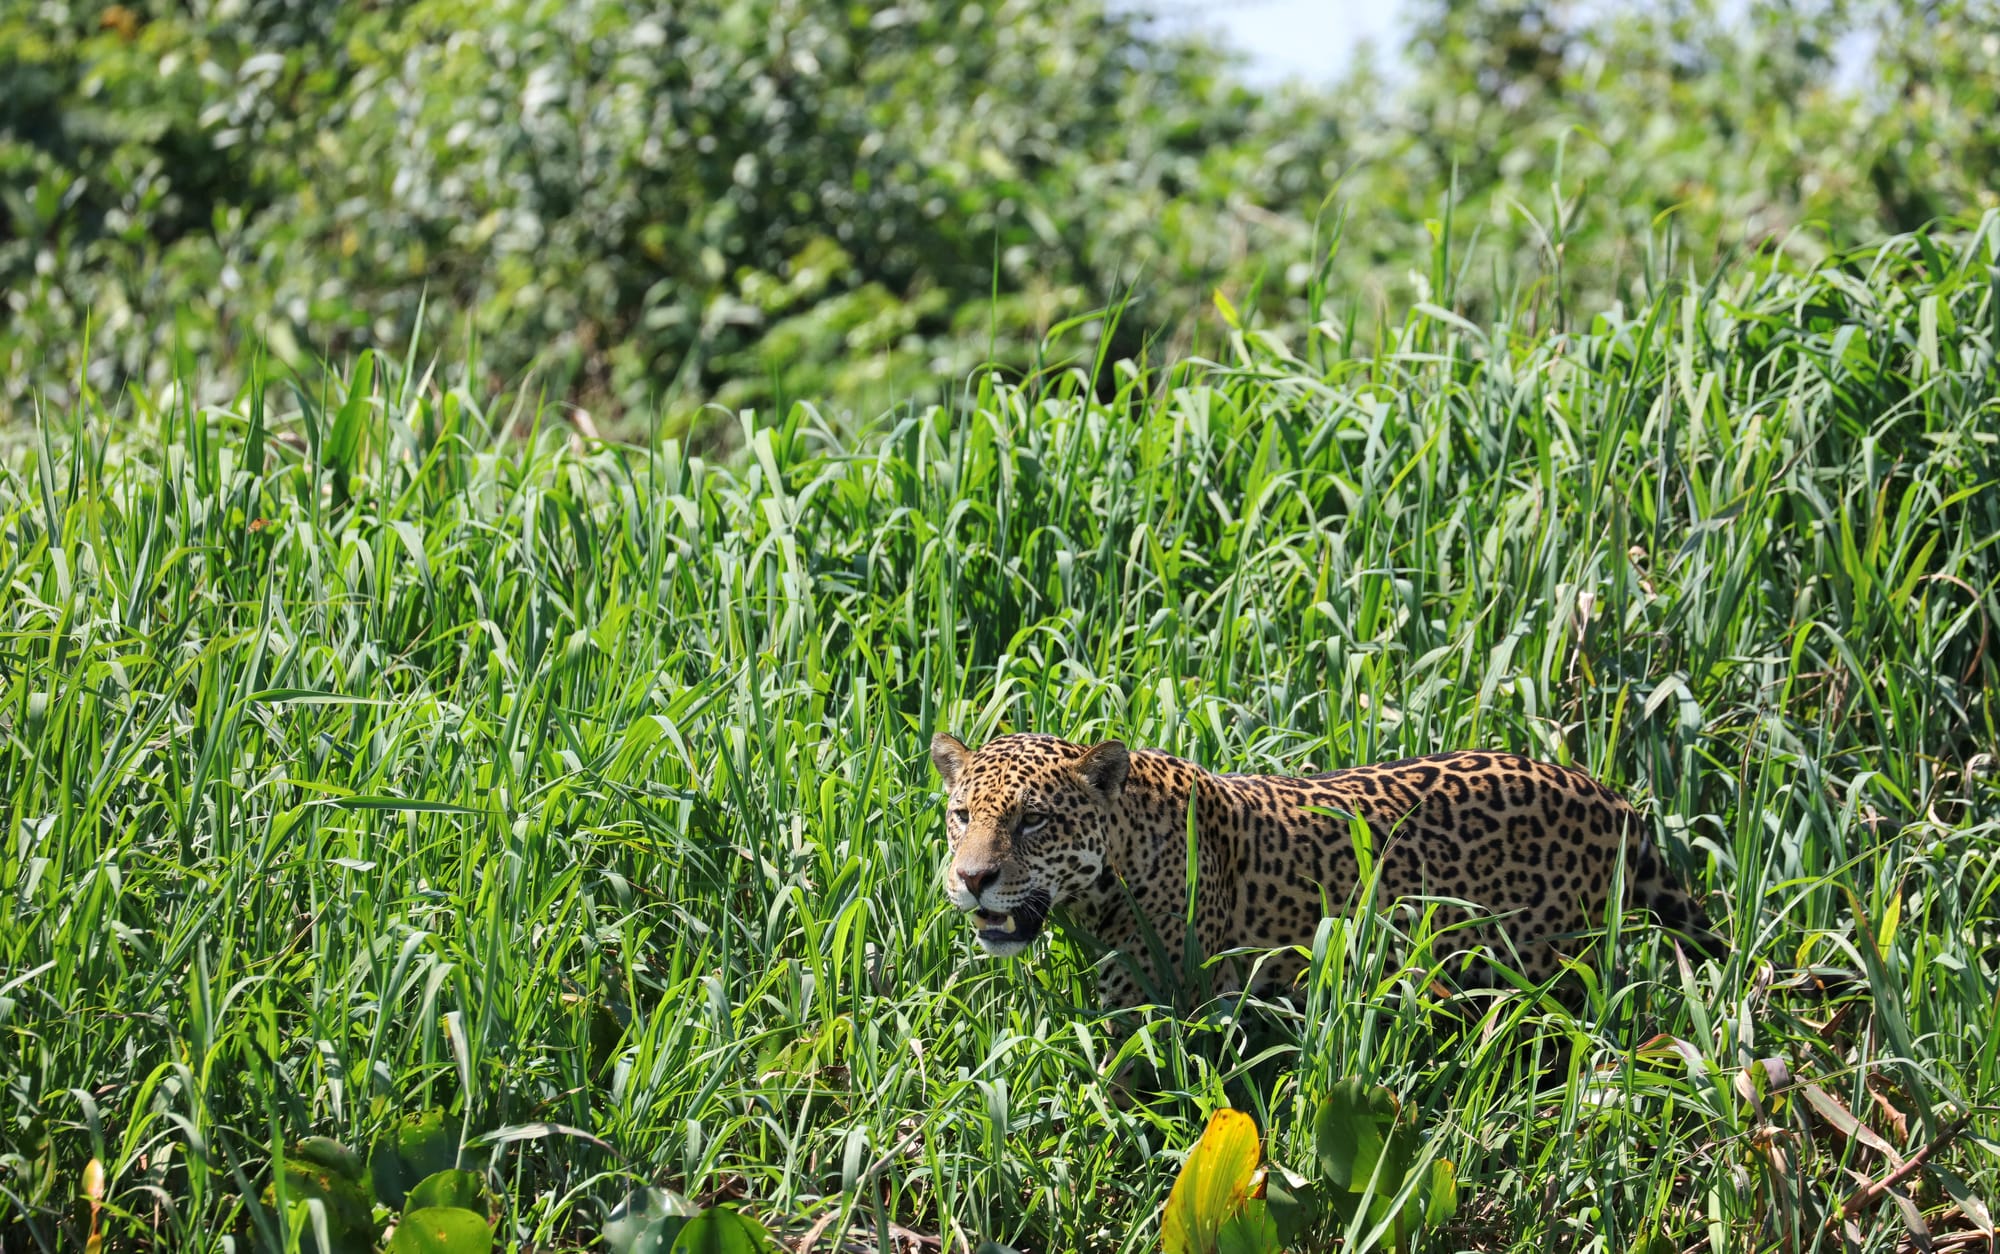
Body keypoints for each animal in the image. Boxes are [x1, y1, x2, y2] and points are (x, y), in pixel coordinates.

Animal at [930, 731, 1715, 1009]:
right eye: (963, 815)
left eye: (1034, 821)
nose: (971, 880)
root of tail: (1613, 797)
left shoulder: (1150, 1010)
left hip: (1551, 967)